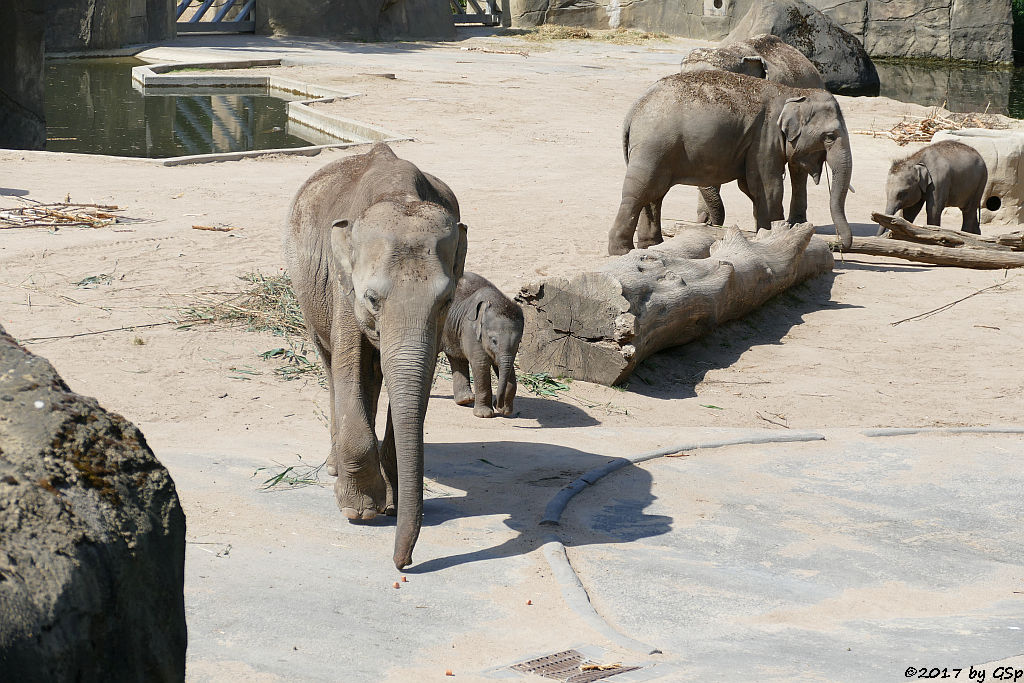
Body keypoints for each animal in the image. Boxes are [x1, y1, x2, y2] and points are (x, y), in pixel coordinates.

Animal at [440, 270, 524, 417]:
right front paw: (484, 415)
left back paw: (465, 400)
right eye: (494, 340)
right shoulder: (471, 330)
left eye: (519, 342)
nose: (498, 404)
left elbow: (507, 368)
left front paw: (505, 411)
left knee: (456, 357)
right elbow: (481, 365)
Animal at [606, 70, 856, 254]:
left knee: (654, 195)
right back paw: (622, 251)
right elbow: (768, 188)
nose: (834, 245)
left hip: (656, 151)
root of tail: (633, 112)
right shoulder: (764, 138)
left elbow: (754, 187)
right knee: (639, 192)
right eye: (830, 136)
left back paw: (651, 246)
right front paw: (772, 235)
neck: (793, 93)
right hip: (653, 147)